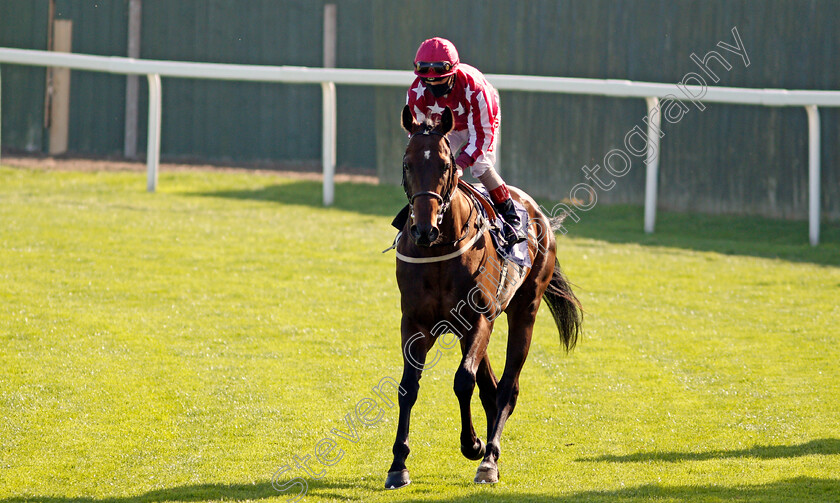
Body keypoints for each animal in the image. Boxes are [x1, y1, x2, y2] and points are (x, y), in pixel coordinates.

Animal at [388, 105, 584, 488]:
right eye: (407, 163)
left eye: (445, 165)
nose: (423, 229)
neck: (439, 250)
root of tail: (537, 212)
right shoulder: (416, 324)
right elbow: (408, 386)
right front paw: (398, 464)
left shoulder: (479, 318)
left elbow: (463, 381)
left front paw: (473, 444)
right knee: (491, 386)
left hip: (524, 310)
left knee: (508, 386)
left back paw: (489, 457)